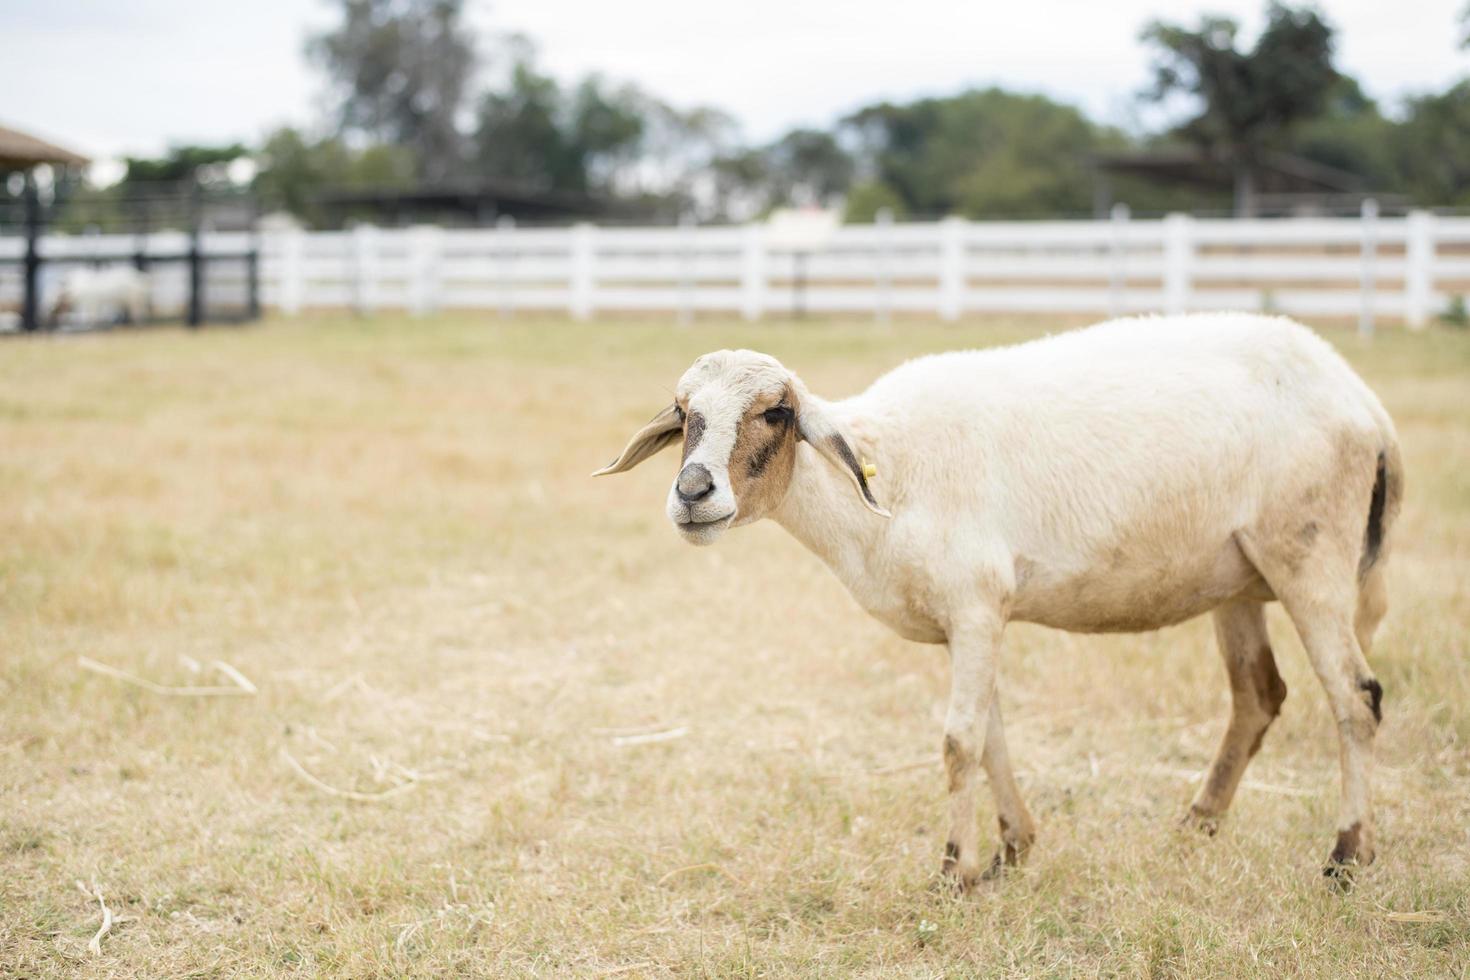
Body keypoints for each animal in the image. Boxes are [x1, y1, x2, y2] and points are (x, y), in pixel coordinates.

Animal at [593, 314, 1399, 887]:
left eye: (777, 413)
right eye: (681, 411)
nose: (693, 492)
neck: (889, 476)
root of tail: (1363, 400)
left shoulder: (976, 604)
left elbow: (959, 743)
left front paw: (955, 871)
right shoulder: (970, 620)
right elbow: (991, 738)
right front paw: (1012, 851)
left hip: (1309, 556)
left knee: (1356, 698)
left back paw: (1346, 858)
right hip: (1238, 577)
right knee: (1259, 695)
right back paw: (1197, 823)